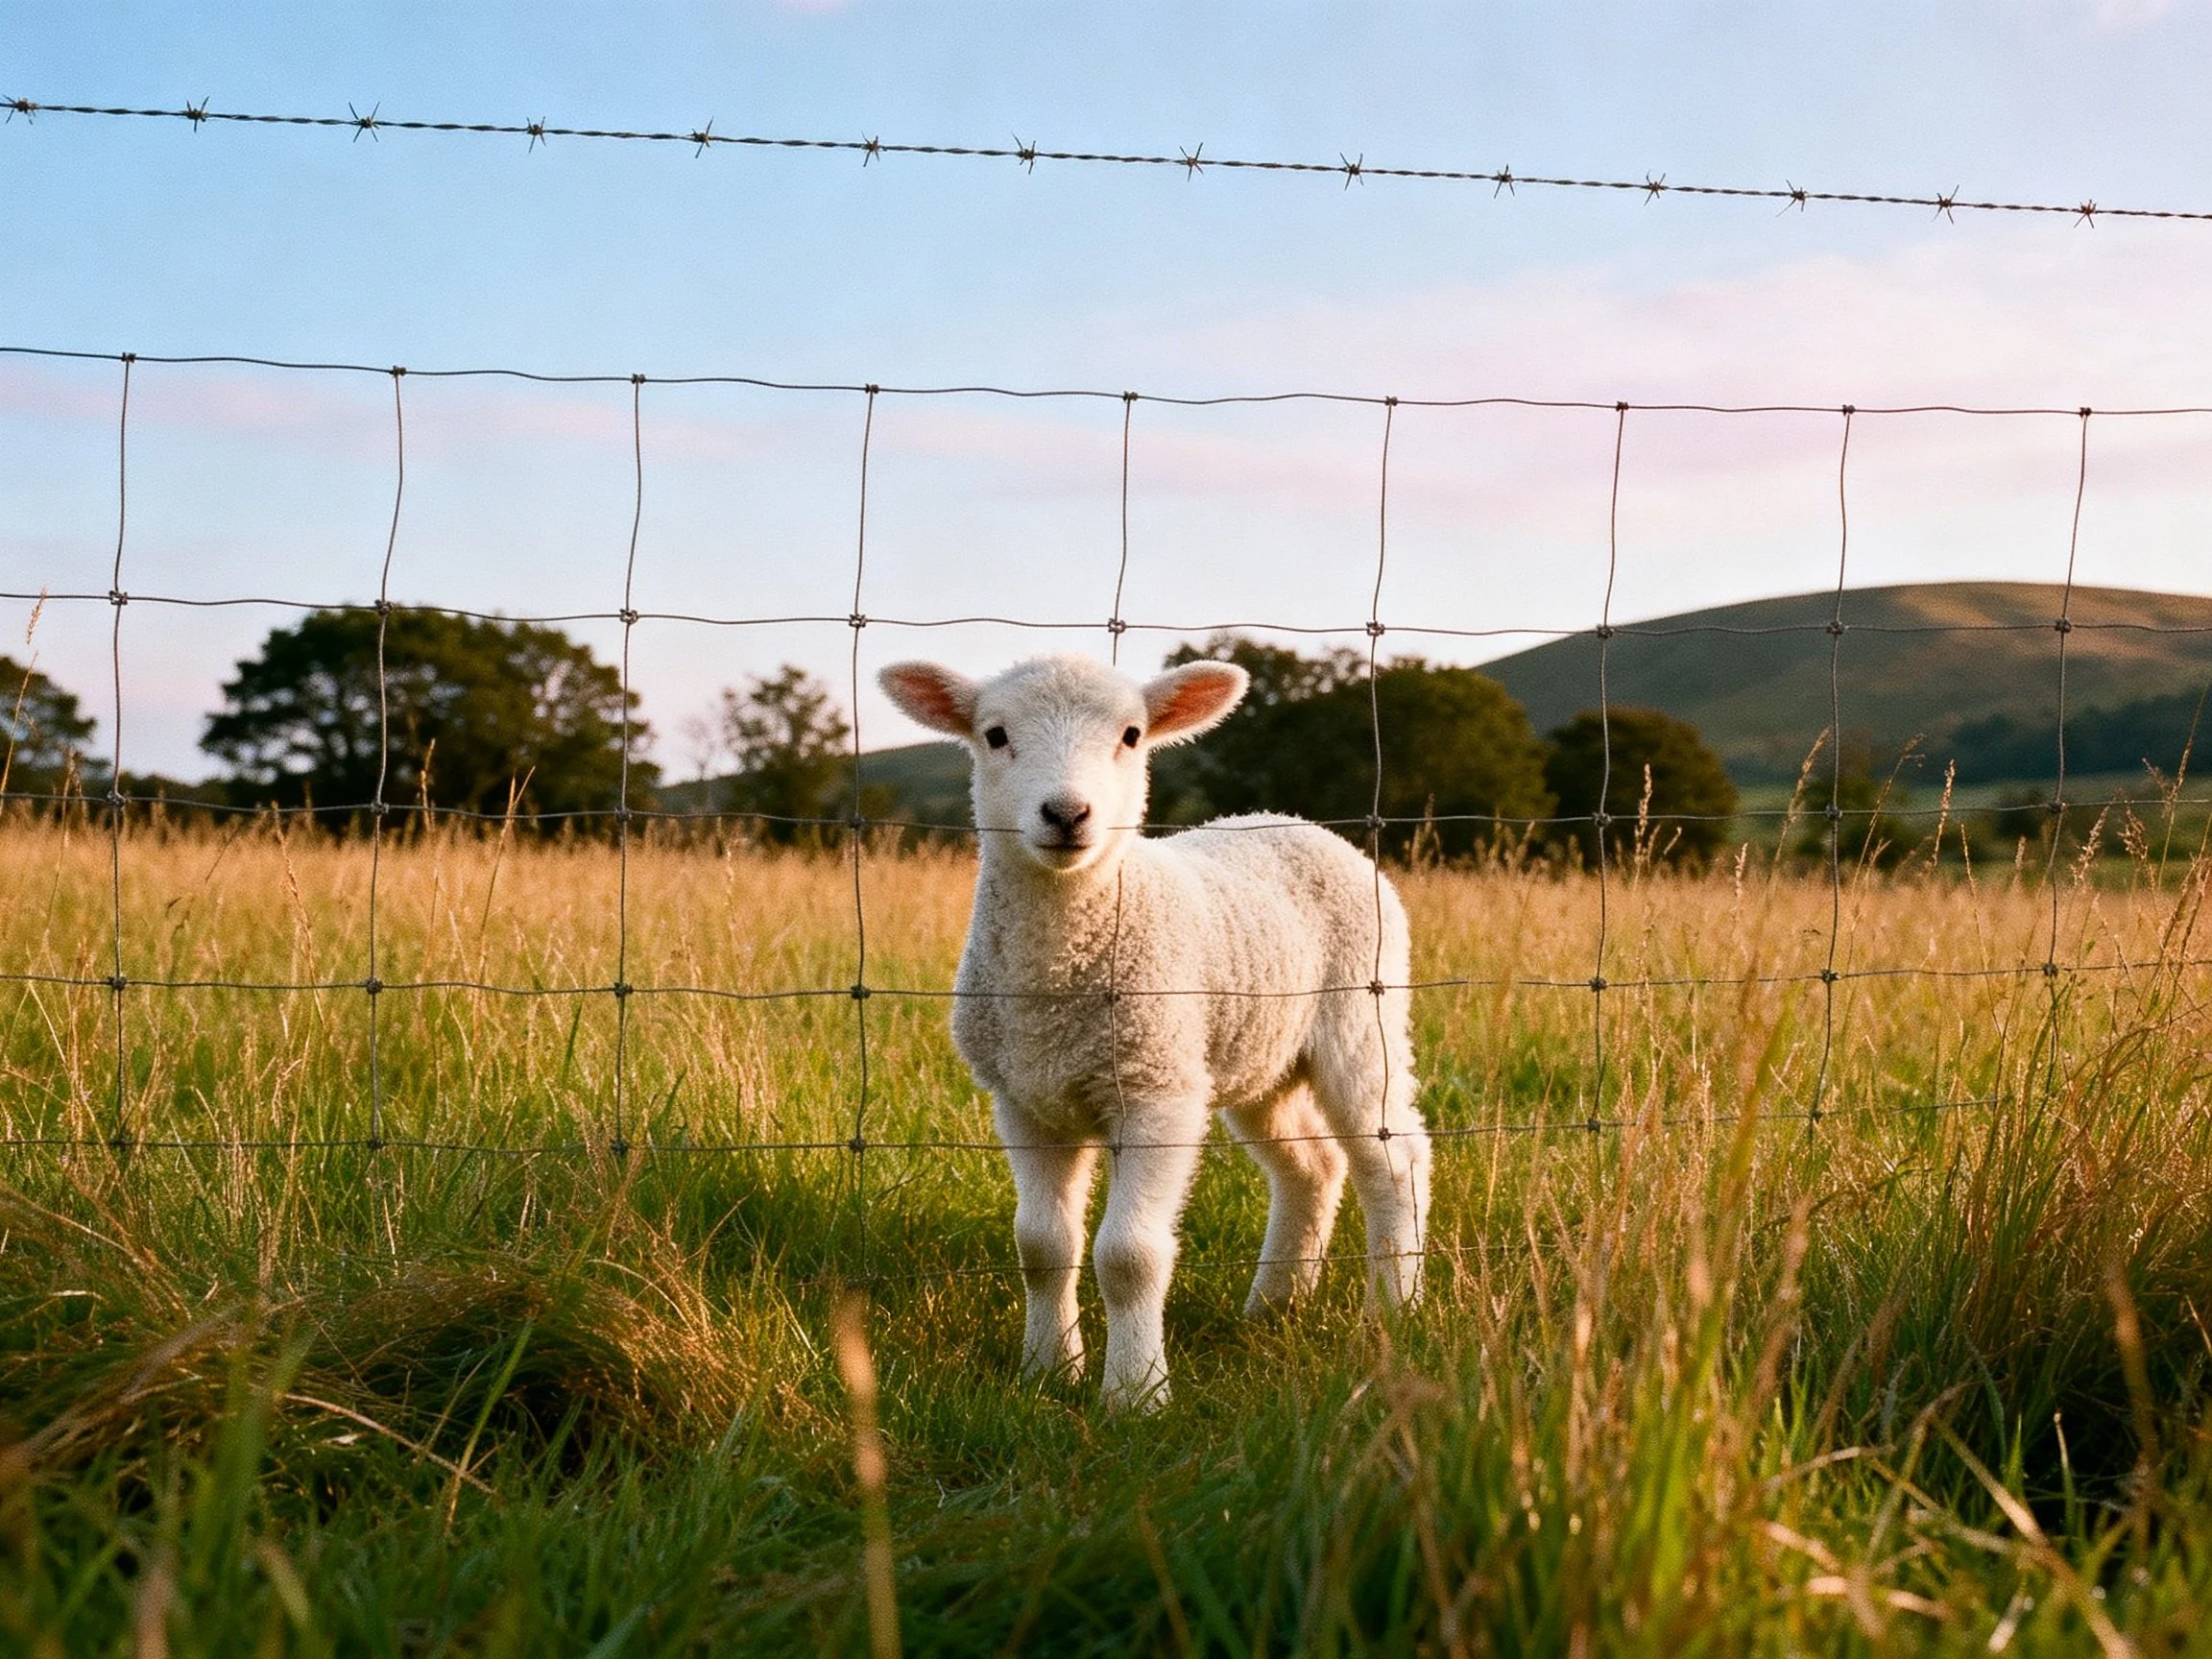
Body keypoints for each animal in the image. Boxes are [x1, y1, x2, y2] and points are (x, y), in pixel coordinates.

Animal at [878, 652, 1429, 1411]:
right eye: (994, 735)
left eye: (1132, 735)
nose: (1067, 814)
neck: (1057, 982)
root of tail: (1294, 821)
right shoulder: (1024, 1099)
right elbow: (1042, 1246)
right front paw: (1048, 1370)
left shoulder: (1156, 1092)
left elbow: (1128, 1255)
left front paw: (1135, 1393)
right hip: (1259, 1055)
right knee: (1312, 1165)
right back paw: (1276, 1305)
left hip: (1362, 1021)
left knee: (1394, 1160)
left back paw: (1394, 1313)